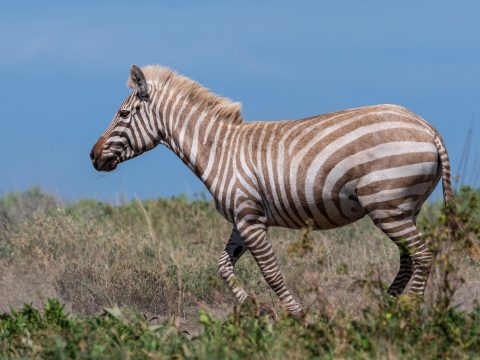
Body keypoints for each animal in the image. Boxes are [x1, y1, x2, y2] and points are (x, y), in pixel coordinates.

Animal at [90, 64, 476, 318]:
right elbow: (223, 266)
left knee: (423, 256)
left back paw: (408, 313)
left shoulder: (250, 219)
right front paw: (254, 307)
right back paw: (387, 308)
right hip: (401, 207)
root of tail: (426, 127)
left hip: (386, 203)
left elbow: (271, 273)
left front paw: (297, 317)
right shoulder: (242, 218)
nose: (93, 157)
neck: (218, 151)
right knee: (410, 258)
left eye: (123, 114)